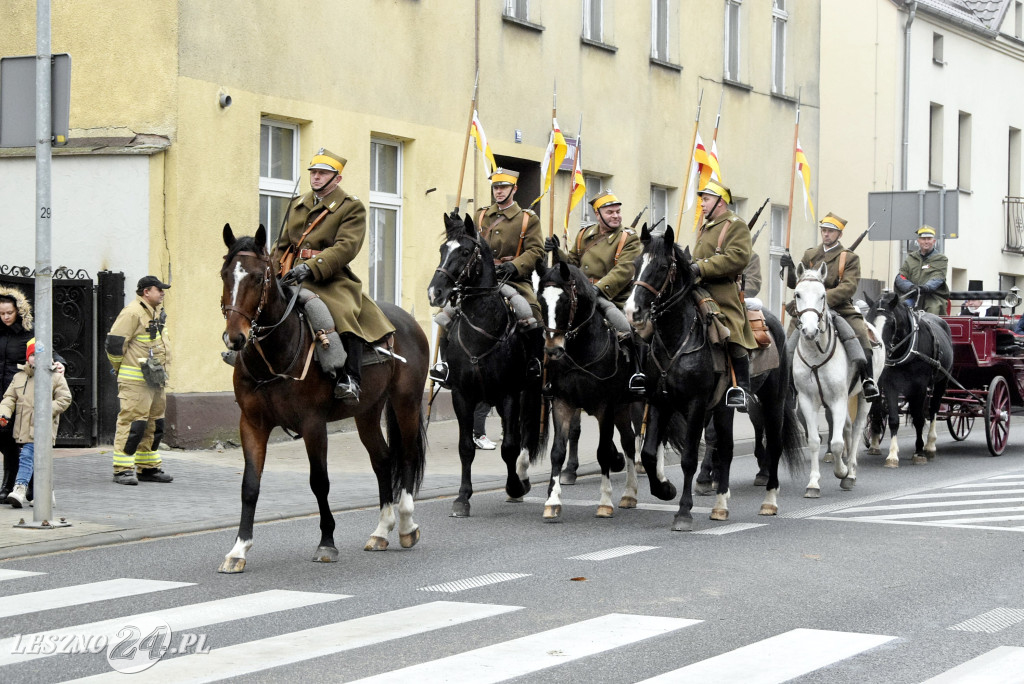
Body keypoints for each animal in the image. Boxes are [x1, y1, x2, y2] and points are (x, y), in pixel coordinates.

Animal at [220, 224, 428, 573]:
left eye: (259, 277)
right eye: (225, 274)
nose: (234, 338)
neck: (276, 352)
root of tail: (406, 320)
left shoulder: (313, 425)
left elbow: (320, 482)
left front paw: (327, 542)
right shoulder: (252, 424)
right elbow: (249, 486)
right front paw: (238, 550)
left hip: (406, 403)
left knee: (409, 456)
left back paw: (406, 524)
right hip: (367, 412)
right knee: (383, 460)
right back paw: (381, 530)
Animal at [425, 210, 544, 516]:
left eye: (465, 252)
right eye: (442, 250)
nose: (435, 292)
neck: (481, 329)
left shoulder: (509, 394)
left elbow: (510, 446)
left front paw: (514, 487)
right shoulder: (462, 395)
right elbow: (465, 447)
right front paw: (462, 497)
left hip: (527, 392)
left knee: (523, 436)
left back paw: (523, 478)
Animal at [532, 254, 634, 518]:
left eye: (566, 300)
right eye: (540, 300)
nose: (553, 350)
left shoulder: (605, 407)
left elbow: (603, 452)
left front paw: (605, 501)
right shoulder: (562, 402)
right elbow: (558, 451)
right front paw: (552, 501)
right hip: (622, 407)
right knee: (629, 441)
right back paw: (630, 494)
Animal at [618, 227, 802, 532]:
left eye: (661, 267)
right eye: (635, 264)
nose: (633, 312)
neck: (677, 338)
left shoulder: (696, 405)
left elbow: (689, 459)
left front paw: (683, 512)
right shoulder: (659, 402)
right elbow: (648, 452)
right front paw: (664, 489)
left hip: (772, 402)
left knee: (774, 445)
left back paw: (769, 501)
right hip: (724, 408)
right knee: (726, 449)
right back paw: (720, 506)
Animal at [786, 266, 884, 497]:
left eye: (823, 295)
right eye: (798, 294)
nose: (810, 331)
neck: (815, 353)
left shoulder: (838, 400)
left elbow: (837, 443)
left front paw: (842, 472)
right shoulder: (807, 401)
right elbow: (814, 441)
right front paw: (813, 483)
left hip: (863, 398)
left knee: (856, 430)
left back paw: (851, 472)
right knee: (847, 427)